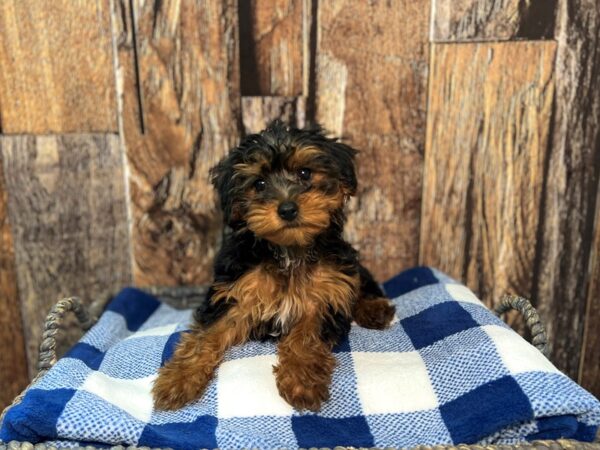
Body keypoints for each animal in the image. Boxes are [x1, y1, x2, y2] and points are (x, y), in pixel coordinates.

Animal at [152, 119, 396, 412]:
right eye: (259, 184)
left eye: (304, 172)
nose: (287, 209)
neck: (288, 251)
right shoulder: (235, 293)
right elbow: (207, 335)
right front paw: (179, 378)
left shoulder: (325, 294)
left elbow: (305, 335)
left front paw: (302, 380)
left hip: (347, 266)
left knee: (362, 283)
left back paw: (375, 309)